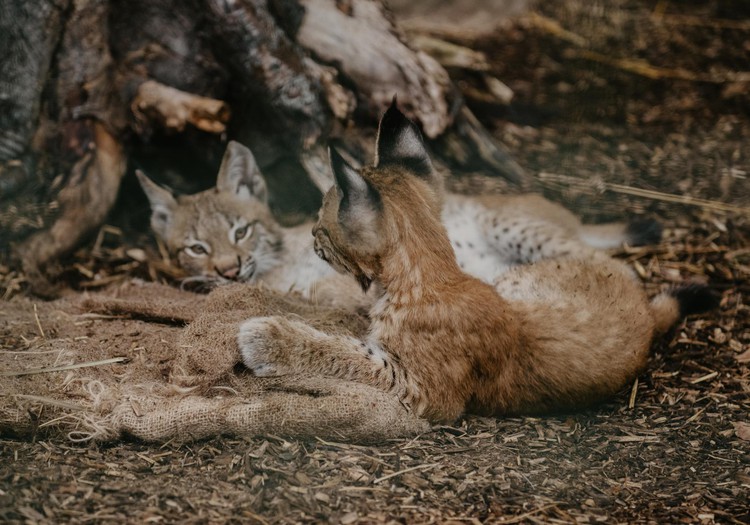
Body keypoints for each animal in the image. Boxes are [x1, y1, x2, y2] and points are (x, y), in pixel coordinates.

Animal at [238, 101, 720, 422]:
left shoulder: (425, 389)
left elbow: (349, 354)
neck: (428, 272)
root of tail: (644, 312)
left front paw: (268, 337)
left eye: (321, 223)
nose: (311, 238)